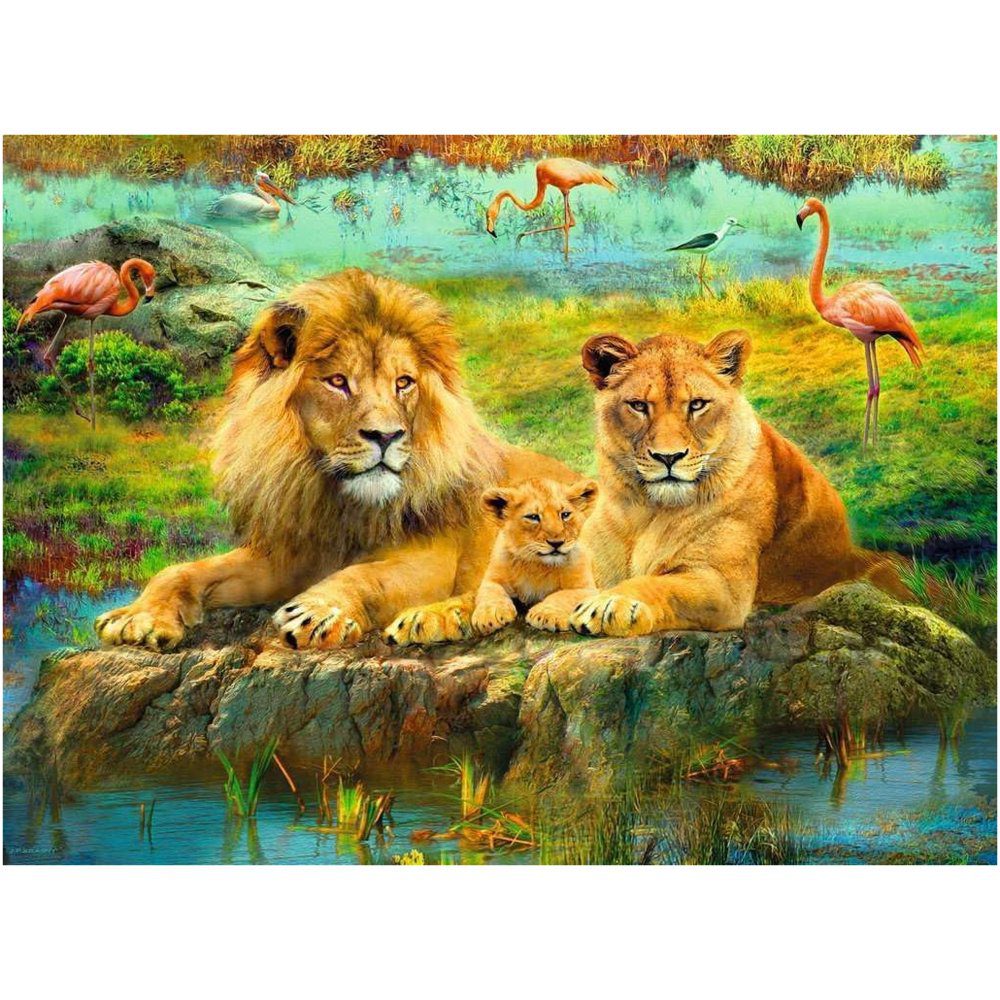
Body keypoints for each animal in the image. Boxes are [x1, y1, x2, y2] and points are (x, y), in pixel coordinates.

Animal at [95, 269, 574, 651]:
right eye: (338, 382)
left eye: (404, 382)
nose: (386, 435)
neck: (338, 502)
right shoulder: (288, 555)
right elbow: (182, 570)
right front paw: (137, 616)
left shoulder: (432, 559)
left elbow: (365, 576)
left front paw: (318, 611)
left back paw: (433, 618)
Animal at [470, 477, 599, 636]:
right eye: (533, 517)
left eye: (565, 515)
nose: (556, 543)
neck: (537, 565)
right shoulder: (492, 580)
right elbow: (491, 593)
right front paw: (489, 615)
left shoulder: (587, 589)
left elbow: (563, 596)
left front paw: (545, 614)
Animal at [563, 328, 911, 638]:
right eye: (638, 406)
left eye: (697, 404)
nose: (668, 456)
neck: (647, 511)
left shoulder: (722, 586)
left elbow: (658, 583)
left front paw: (612, 604)